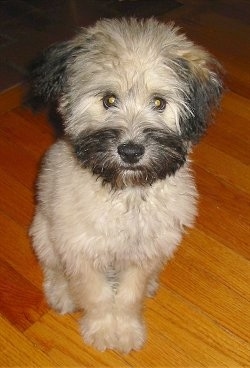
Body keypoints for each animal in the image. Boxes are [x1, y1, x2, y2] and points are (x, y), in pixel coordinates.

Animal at [28, 18, 223, 354]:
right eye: (108, 99)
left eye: (158, 102)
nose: (131, 151)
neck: (126, 192)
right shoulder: (81, 250)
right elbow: (97, 295)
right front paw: (105, 329)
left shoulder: (144, 251)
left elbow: (130, 293)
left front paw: (128, 328)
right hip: (44, 233)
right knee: (53, 267)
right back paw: (62, 292)